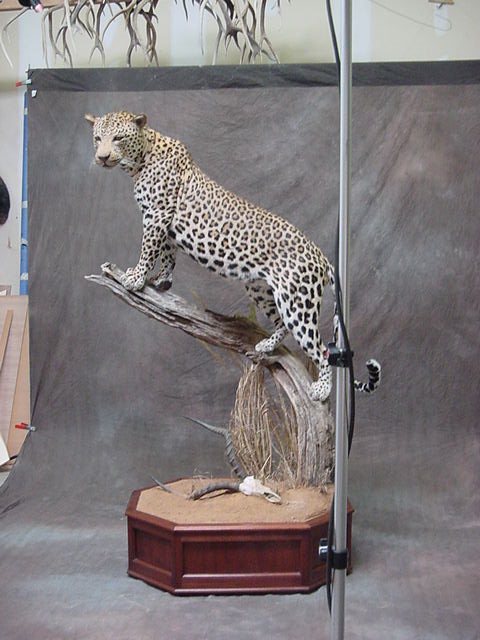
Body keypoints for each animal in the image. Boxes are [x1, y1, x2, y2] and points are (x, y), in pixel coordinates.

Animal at [85, 110, 380, 402]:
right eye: (98, 138)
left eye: (119, 138)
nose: (102, 157)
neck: (139, 160)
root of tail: (321, 256)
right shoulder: (166, 224)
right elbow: (168, 255)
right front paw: (161, 280)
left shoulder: (157, 215)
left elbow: (148, 249)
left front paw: (136, 276)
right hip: (262, 290)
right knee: (283, 324)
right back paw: (266, 345)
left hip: (298, 303)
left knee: (322, 349)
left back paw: (321, 389)